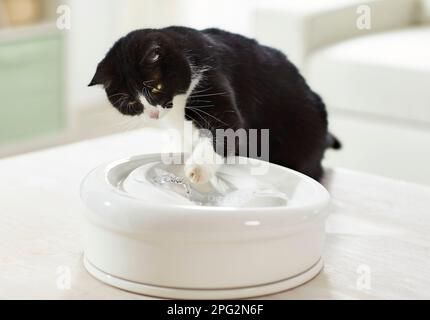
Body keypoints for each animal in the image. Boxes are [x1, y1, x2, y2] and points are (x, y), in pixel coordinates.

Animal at [89, 26, 340, 182]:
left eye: (156, 88)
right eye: (131, 102)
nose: (152, 114)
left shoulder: (213, 78)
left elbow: (227, 130)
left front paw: (197, 169)